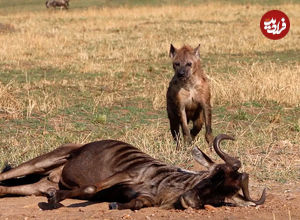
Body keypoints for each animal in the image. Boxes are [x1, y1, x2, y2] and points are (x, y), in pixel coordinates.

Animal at [0, 134, 266, 210]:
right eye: (216, 174)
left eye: (222, 197)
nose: (190, 201)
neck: (165, 184)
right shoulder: (124, 175)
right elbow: (90, 187)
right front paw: (56, 199)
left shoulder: (146, 198)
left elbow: (137, 203)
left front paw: (116, 205)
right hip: (45, 160)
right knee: (6, 175)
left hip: (35, 186)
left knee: (8, 189)